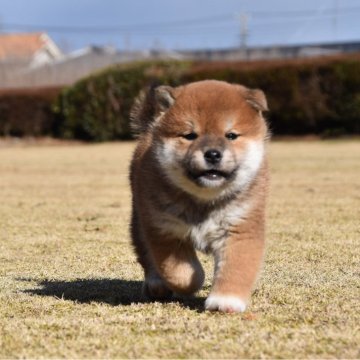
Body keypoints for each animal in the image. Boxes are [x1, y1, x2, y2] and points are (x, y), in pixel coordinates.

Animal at [129, 79, 268, 312]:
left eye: (231, 135)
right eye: (190, 135)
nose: (212, 154)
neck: (204, 200)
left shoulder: (239, 228)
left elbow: (236, 268)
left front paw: (225, 301)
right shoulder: (164, 229)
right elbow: (182, 274)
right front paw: (193, 282)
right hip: (140, 220)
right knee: (146, 254)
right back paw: (157, 283)